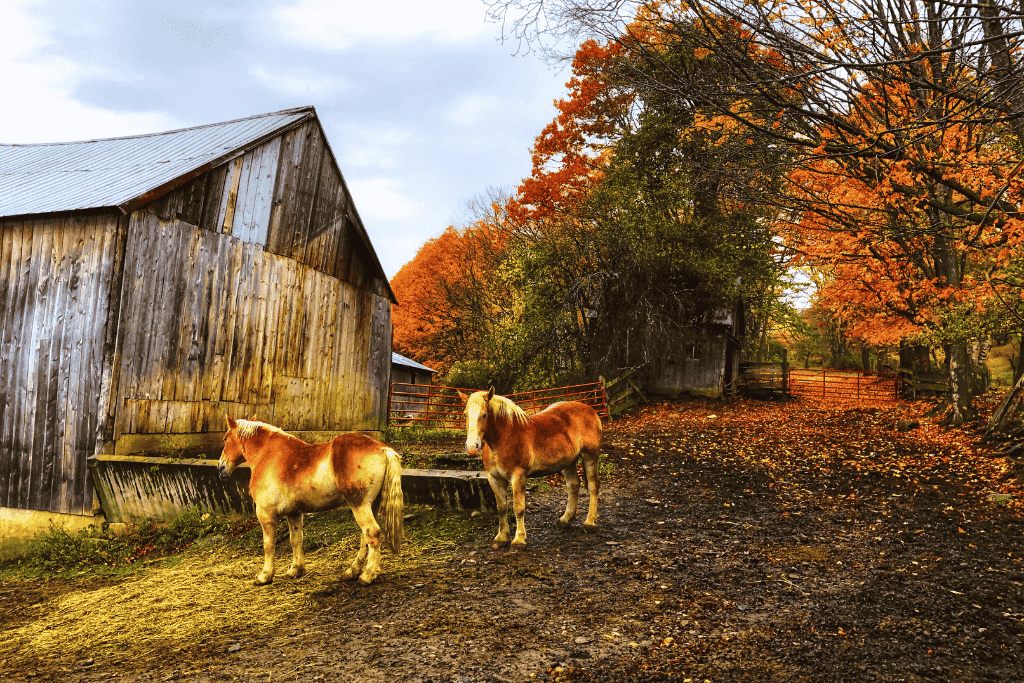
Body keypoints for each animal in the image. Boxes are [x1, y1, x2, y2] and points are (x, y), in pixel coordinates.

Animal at [218, 416, 403, 586]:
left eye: (225, 438)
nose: (220, 468)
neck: (268, 454)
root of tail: (382, 448)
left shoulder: (266, 515)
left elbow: (268, 544)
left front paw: (265, 576)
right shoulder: (294, 513)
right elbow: (296, 540)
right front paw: (295, 570)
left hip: (360, 505)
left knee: (371, 533)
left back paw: (368, 575)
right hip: (371, 506)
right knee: (364, 538)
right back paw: (352, 572)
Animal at [458, 388, 602, 547]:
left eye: (484, 415)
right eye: (465, 414)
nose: (472, 448)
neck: (503, 438)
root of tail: (590, 410)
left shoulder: (518, 476)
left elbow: (518, 508)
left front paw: (519, 539)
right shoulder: (494, 478)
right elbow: (501, 507)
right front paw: (502, 537)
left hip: (590, 456)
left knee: (593, 486)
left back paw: (590, 522)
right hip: (568, 462)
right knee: (573, 485)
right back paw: (566, 519)